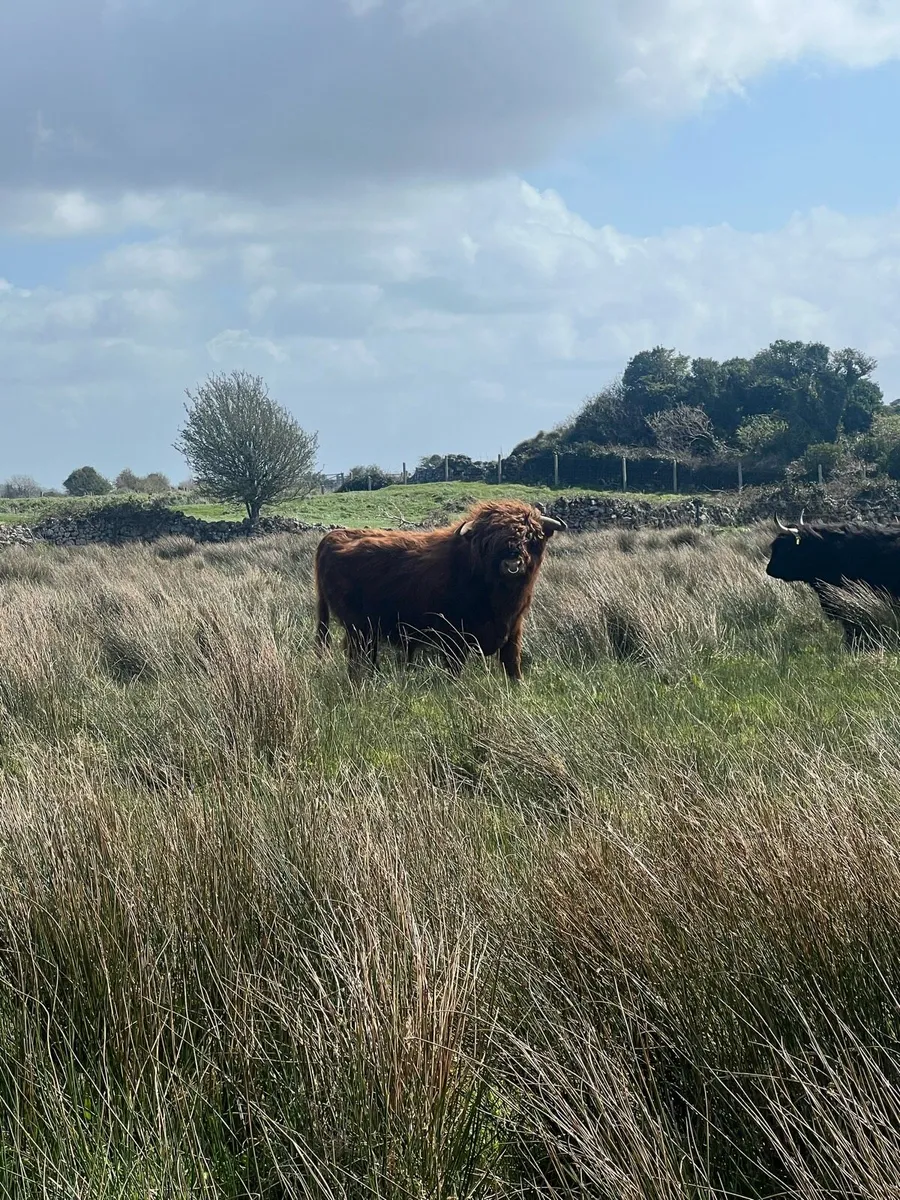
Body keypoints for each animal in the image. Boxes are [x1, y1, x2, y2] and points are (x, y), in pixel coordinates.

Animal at [314, 499, 567, 681]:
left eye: (530, 536)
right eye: (489, 541)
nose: (512, 561)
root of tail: (333, 536)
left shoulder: (514, 628)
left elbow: (512, 663)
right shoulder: (453, 634)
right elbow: (455, 668)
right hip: (358, 628)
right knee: (357, 658)